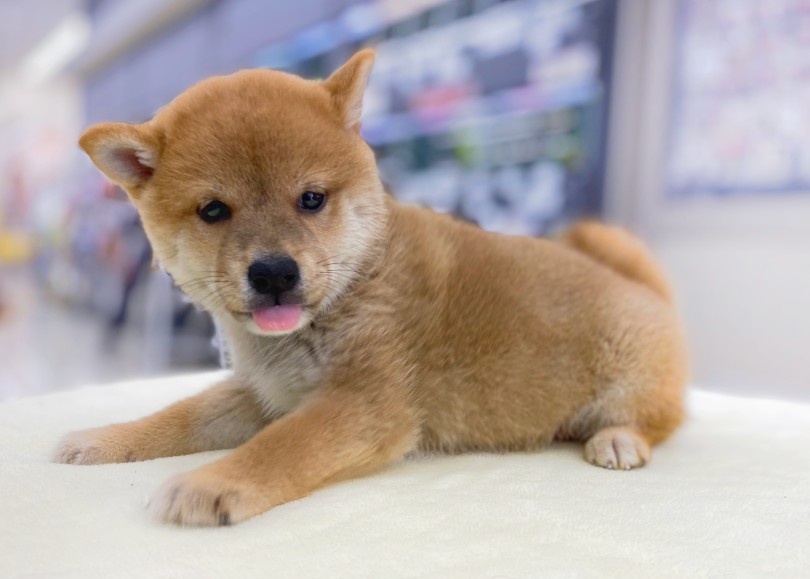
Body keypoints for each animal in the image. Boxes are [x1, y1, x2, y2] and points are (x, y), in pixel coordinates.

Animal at [56, 52, 684, 528]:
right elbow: (181, 416)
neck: (355, 286)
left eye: (311, 199)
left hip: (629, 378)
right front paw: (105, 439)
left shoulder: (366, 403)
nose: (275, 272)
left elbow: (282, 448)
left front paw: (212, 483)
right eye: (213, 210)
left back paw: (618, 441)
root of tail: (643, 288)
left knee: (661, 420)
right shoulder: (263, 395)